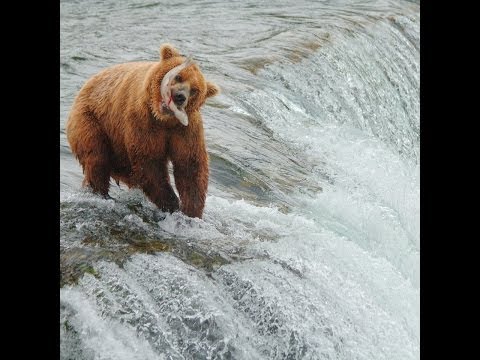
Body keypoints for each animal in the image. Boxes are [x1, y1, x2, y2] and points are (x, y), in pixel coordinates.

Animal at [66, 45, 219, 219]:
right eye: (178, 76)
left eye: (194, 90)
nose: (180, 96)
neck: (164, 120)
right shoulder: (142, 122)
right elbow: (149, 161)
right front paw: (171, 203)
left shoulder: (185, 130)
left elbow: (190, 166)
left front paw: (191, 211)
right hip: (91, 120)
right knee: (96, 158)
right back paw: (98, 192)